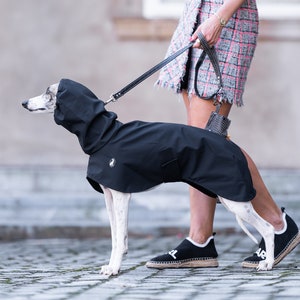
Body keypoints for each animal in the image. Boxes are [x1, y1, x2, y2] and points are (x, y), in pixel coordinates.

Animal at [21, 78, 274, 276]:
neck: (105, 134)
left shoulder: (122, 194)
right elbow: (116, 237)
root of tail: (233, 148)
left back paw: (268, 263)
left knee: (268, 228)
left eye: (48, 92)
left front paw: (115, 269)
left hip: (234, 200)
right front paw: (112, 265)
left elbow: (120, 235)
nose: (23, 103)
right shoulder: (109, 195)